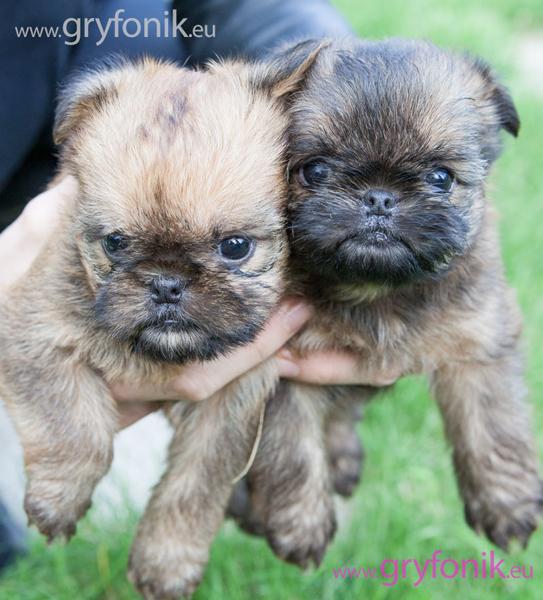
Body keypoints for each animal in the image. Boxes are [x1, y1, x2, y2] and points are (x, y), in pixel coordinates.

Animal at [0, 52, 324, 600]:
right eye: (115, 243)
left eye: (236, 247)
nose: (167, 284)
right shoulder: (33, 331)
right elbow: (76, 427)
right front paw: (57, 502)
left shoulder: (229, 403)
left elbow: (194, 485)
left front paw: (166, 561)